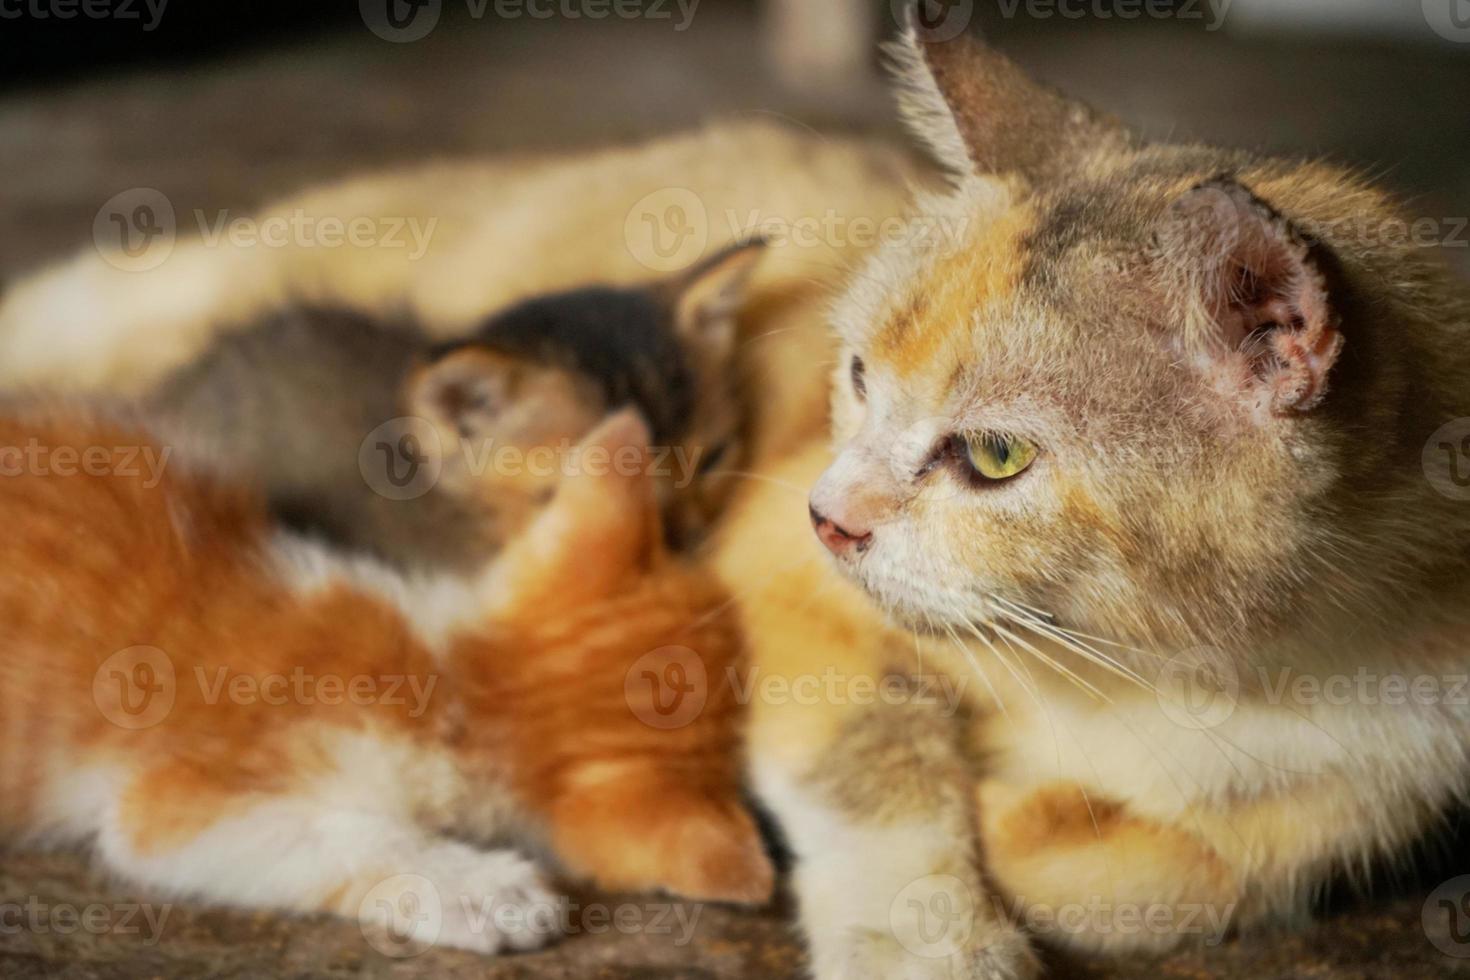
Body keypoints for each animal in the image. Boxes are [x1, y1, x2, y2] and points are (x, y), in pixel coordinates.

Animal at [717, 22, 1470, 980]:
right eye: (857, 376)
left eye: (996, 456)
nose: (827, 518)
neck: (1182, 678)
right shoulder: (775, 577)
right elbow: (875, 752)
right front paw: (931, 938)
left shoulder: (1410, 749)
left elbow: (1210, 864)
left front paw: (1018, 813)